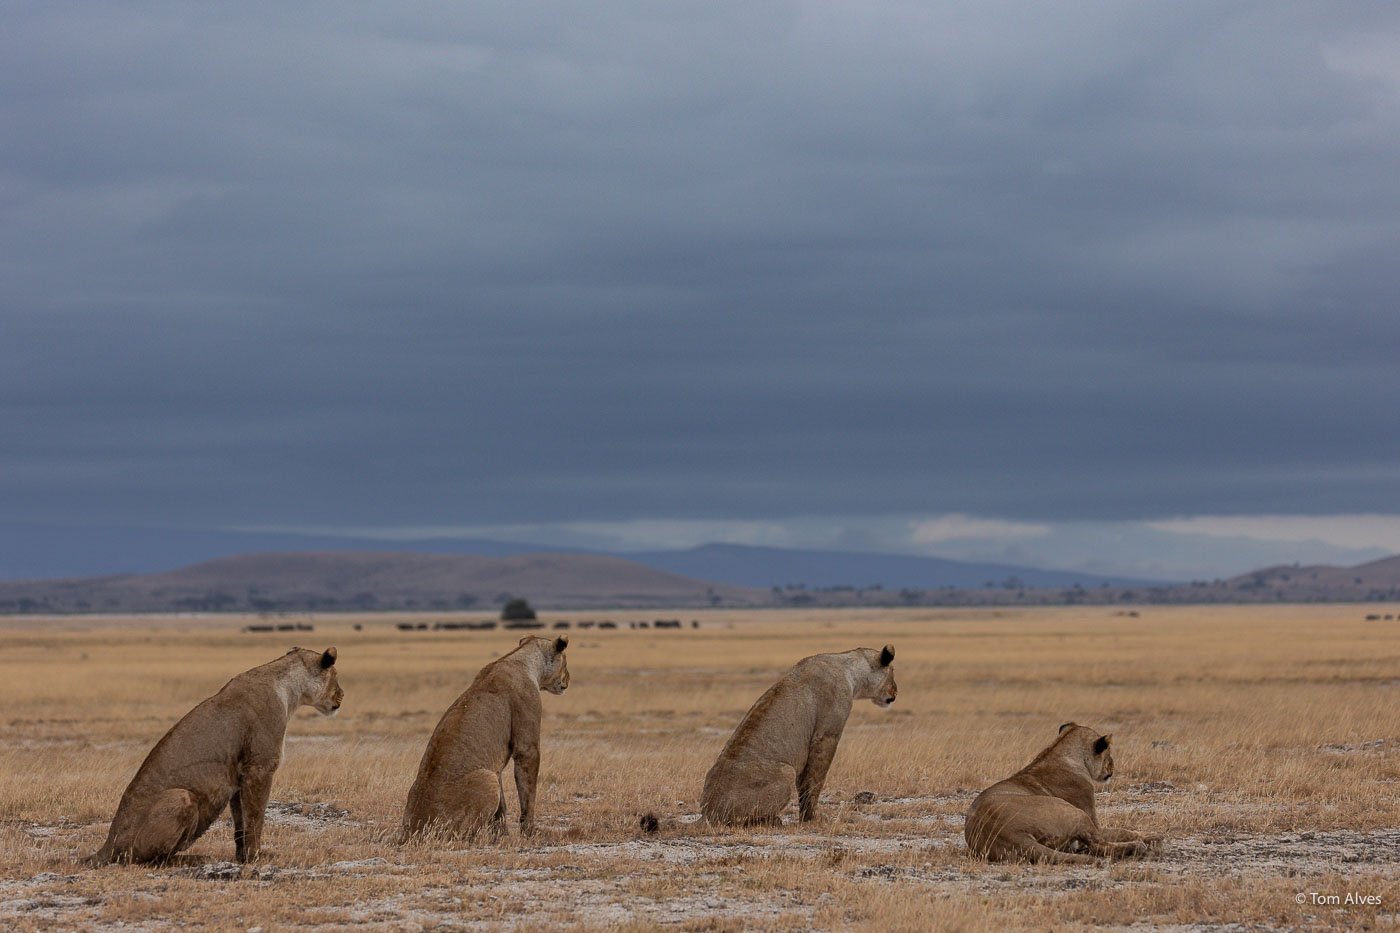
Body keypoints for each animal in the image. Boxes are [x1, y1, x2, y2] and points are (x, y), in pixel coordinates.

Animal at [87, 647, 342, 866]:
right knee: (148, 859)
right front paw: (256, 857)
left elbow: (241, 824)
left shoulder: (239, 779)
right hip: (181, 797)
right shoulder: (259, 769)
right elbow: (255, 819)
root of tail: (106, 845)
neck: (289, 691)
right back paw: (194, 859)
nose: (342, 695)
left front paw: (242, 857)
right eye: (335, 675)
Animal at [401, 635, 569, 841]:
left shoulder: (495, 768)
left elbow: (501, 807)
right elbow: (528, 793)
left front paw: (502, 835)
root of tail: (410, 833)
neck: (519, 659)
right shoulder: (526, 746)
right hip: (486, 778)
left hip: (488, 776)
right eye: (565, 662)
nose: (568, 680)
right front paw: (529, 832)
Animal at [700, 645, 896, 826]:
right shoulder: (826, 735)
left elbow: (804, 782)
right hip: (786, 771)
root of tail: (707, 814)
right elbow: (815, 780)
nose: (895, 692)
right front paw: (811, 818)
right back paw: (772, 821)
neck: (850, 670)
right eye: (892, 673)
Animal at [964, 722, 1161, 864]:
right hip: (1075, 813)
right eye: (1109, 752)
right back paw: (1139, 847)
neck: (1058, 752)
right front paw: (1151, 836)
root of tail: (1009, 833)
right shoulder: (1093, 818)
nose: (1113, 767)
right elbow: (1121, 830)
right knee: (1099, 846)